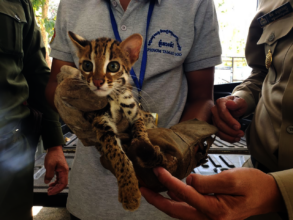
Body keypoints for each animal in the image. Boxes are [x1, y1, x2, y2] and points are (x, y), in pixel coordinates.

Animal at [67, 31, 171, 211]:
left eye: (113, 67)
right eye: (87, 65)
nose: (97, 82)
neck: (113, 96)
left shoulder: (135, 113)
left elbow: (141, 132)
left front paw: (148, 149)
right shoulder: (100, 119)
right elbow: (117, 153)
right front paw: (130, 191)